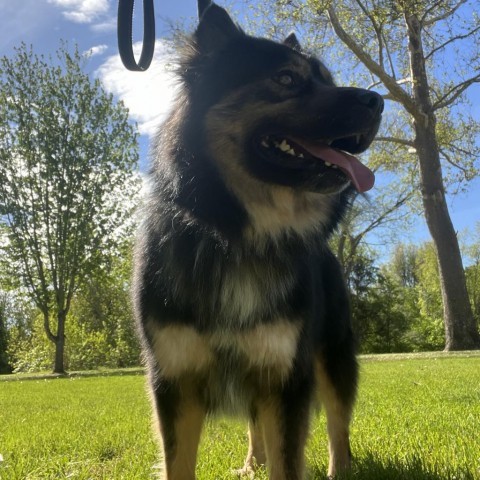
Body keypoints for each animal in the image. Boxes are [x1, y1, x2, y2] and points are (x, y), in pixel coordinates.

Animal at [133, 1, 384, 478]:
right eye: (286, 79)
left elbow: (290, 458)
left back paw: (340, 469)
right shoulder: (175, 380)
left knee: (338, 423)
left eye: (327, 79)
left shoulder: (287, 375)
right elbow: (180, 463)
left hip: (331, 356)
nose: (378, 101)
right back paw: (253, 462)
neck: (238, 238)